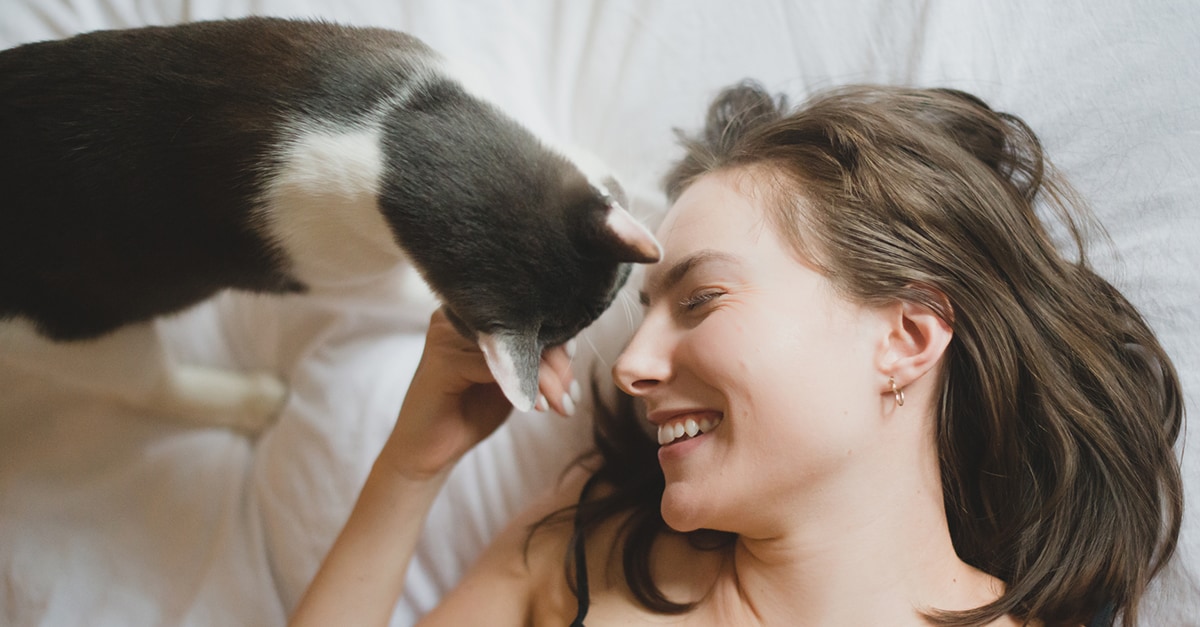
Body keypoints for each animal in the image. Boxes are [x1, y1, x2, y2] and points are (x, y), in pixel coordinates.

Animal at [0, 15, 662, 425]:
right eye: (592, 316)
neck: (392, 153)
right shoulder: (337, 272)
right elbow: (402, 298)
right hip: (68, 333)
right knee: (148, 387)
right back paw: (250, 402)